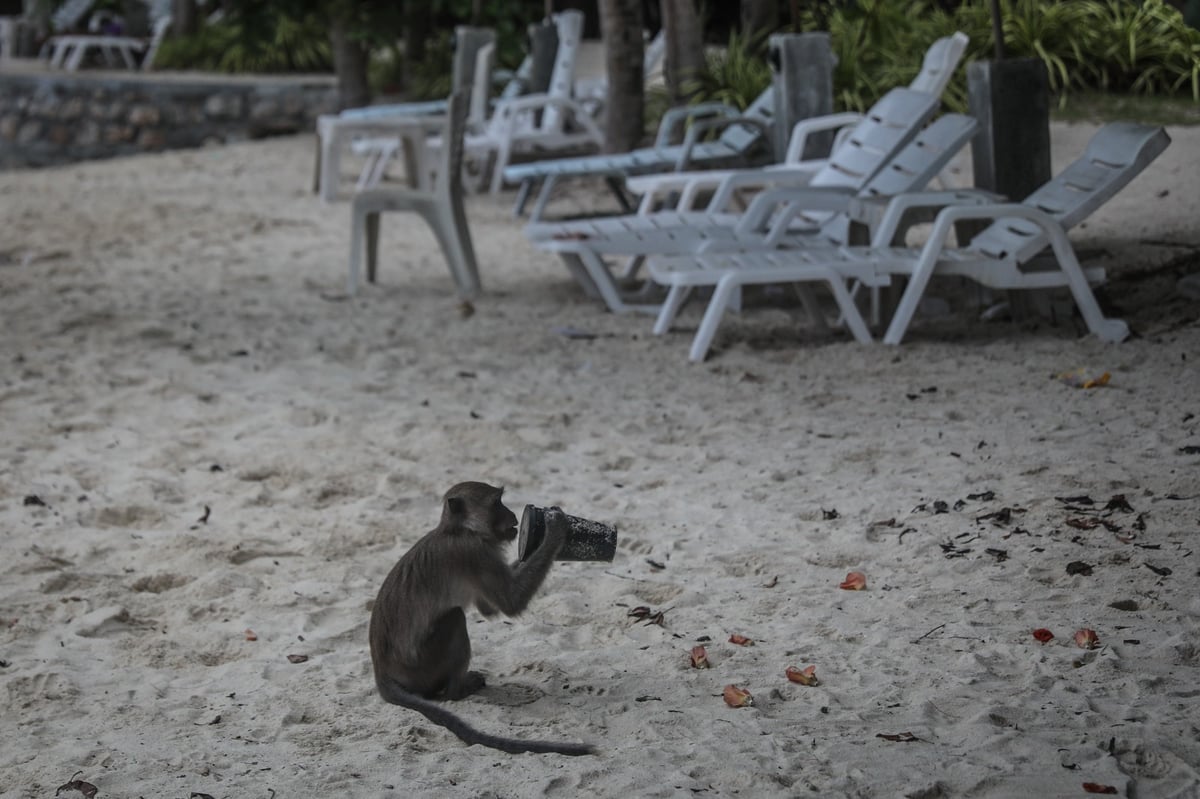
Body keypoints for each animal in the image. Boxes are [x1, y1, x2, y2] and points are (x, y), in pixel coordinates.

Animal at [362, 479, 592, 753]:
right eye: (496, 503)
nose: (513, 515)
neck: (459, 530)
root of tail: (381, 672)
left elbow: (489, 608)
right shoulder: (473, 552)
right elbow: (511, 603)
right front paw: (555, 528)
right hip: (422, 668)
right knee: (455, 617)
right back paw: (457, 690)